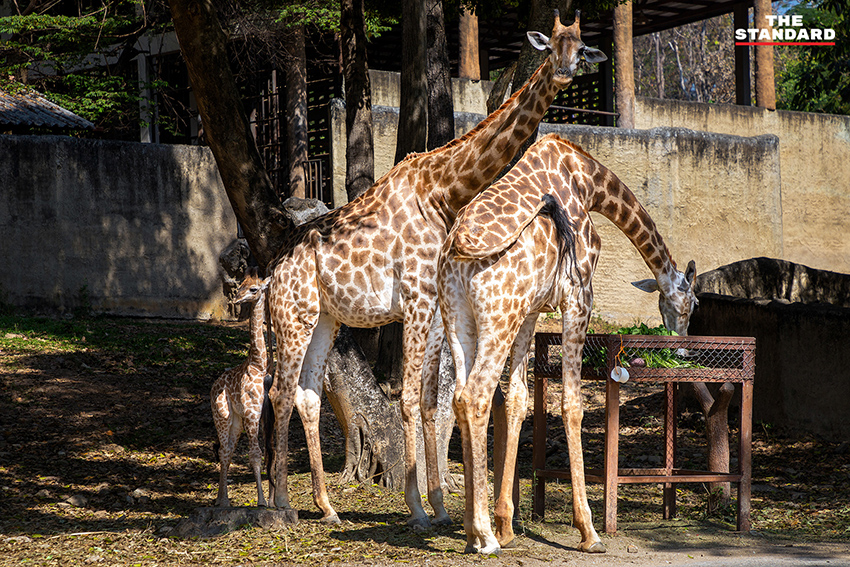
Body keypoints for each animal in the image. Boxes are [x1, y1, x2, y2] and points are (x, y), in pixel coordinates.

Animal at [210, 268, 270, 508]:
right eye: (240, 285)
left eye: (253, 288)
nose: (235, 300)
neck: (258, 366)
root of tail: (213, 386)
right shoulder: (250, 412)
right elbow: (254, 454)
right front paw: (262, 501)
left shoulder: (259, 413)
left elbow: (260, 453)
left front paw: (266, 500)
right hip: (222, 414)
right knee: (224, 450)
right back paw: (223, 500)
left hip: (235, 420)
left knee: (227, 450)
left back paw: (221, 499)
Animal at [264, 12, 604, 528]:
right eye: (551, 48)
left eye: (581, 48)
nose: (565, 73)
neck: (444, 190)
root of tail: (272, 275)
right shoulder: (416, 302)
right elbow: (406, 396)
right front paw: (417, 507)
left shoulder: (437, 311)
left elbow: (428, 401)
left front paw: (441, 506)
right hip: (293, 318)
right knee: (280, 394)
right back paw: (283, 503)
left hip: (325, 319)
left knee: (307, 395)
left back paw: (326, 507)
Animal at [438, 133, 696, 556]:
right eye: (692, 305)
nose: (682, 349)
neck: (588, 181)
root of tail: (457, 248)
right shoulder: (578, 296)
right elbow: (571, 405)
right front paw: (588, 531)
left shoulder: (530, 310)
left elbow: (518, 399)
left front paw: (507, 524)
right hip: (498, 317)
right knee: (476, 395)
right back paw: (483, 537)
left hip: (460, 317)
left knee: (462, 396)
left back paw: (475, 533)